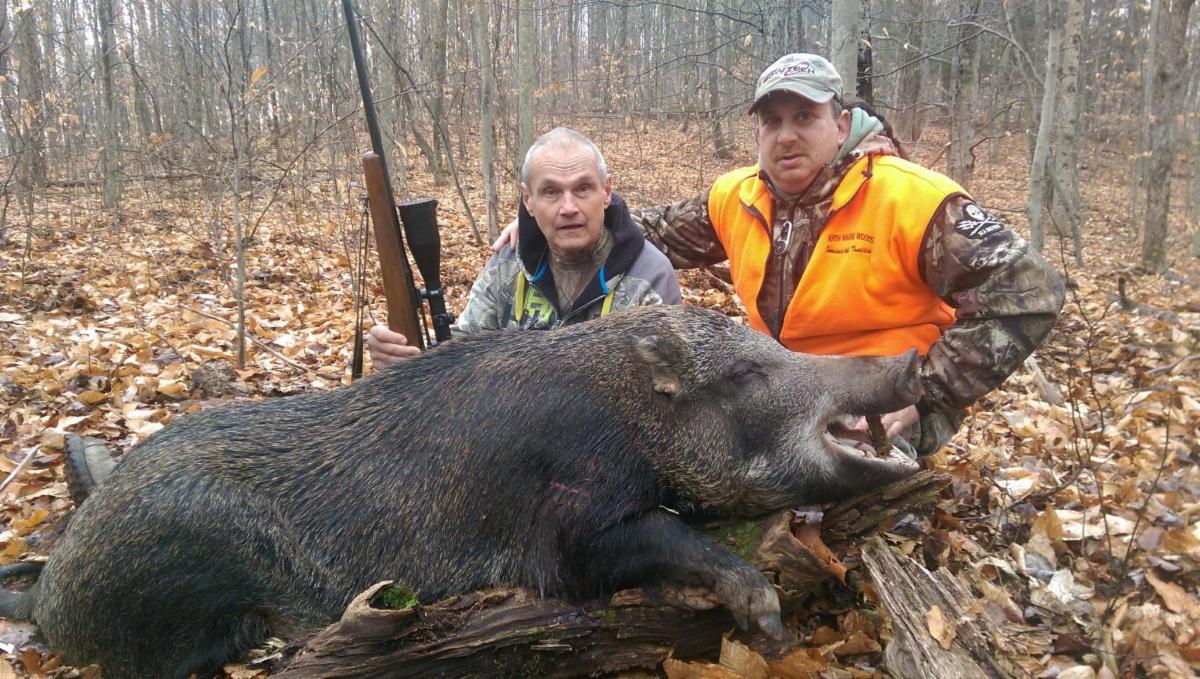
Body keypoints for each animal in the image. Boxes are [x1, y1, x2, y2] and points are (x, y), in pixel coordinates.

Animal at [0, 305, 921, 678]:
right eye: (746, 375)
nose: (910, 357)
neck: (625, 413)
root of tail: (47, 593)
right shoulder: (563, 534)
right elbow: (653, 539)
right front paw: (767, 621)